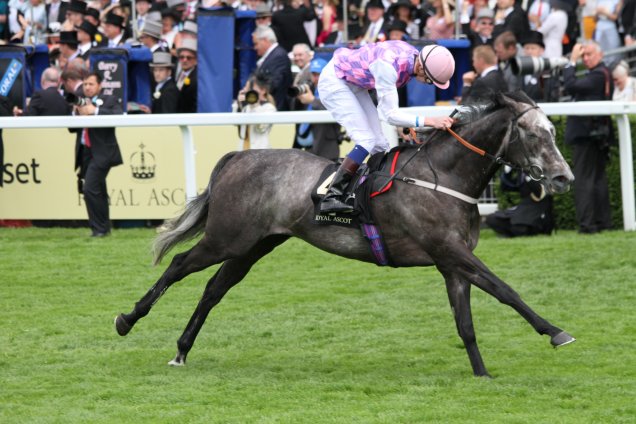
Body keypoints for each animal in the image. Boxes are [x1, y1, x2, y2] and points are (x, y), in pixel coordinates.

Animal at [115, 91, 576, 376]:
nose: (563, 178)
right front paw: (556, 331)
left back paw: (181, 349)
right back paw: (127, 319)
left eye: (554, 132)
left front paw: (482, 374)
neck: (443, 176)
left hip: (255, 244)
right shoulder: (451, 251)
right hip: (227, 237)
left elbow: (466, 322)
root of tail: (237, 157)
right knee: (179, 265)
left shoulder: (451, 262)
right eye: (534, 133)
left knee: (214, 287)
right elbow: (505, 290)